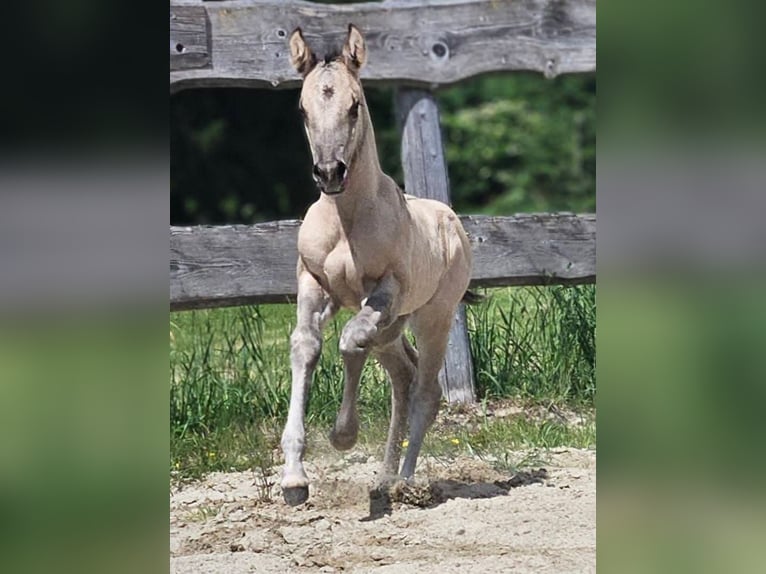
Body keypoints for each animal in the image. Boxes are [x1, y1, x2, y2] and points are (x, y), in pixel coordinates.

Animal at [280, 24, 472, 506]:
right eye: (302, 109)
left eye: (355, 105)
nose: (330, 172)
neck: (346, 222)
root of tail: (453, 221)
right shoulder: (312, 283)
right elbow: (306, 346)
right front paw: (293, 478)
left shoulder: (385, 290)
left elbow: (350, 342)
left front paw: (343, 435)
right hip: (393, 327)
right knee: (403, 378)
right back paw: (383, 480)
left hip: (433, 315)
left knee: (425, 390)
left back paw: (403, 481)